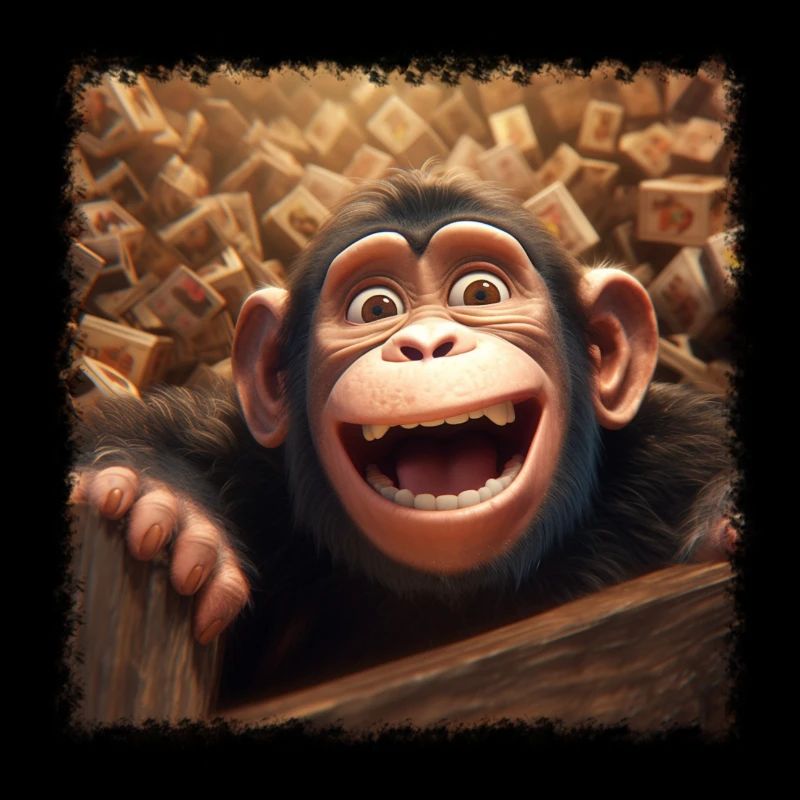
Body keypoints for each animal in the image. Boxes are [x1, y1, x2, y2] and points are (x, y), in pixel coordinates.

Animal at [70, 168, 735, 705]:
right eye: (376, 307)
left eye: (481, 292)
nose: (427, 343)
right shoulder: (236, 452)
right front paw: (162, 505)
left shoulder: (679, 446)